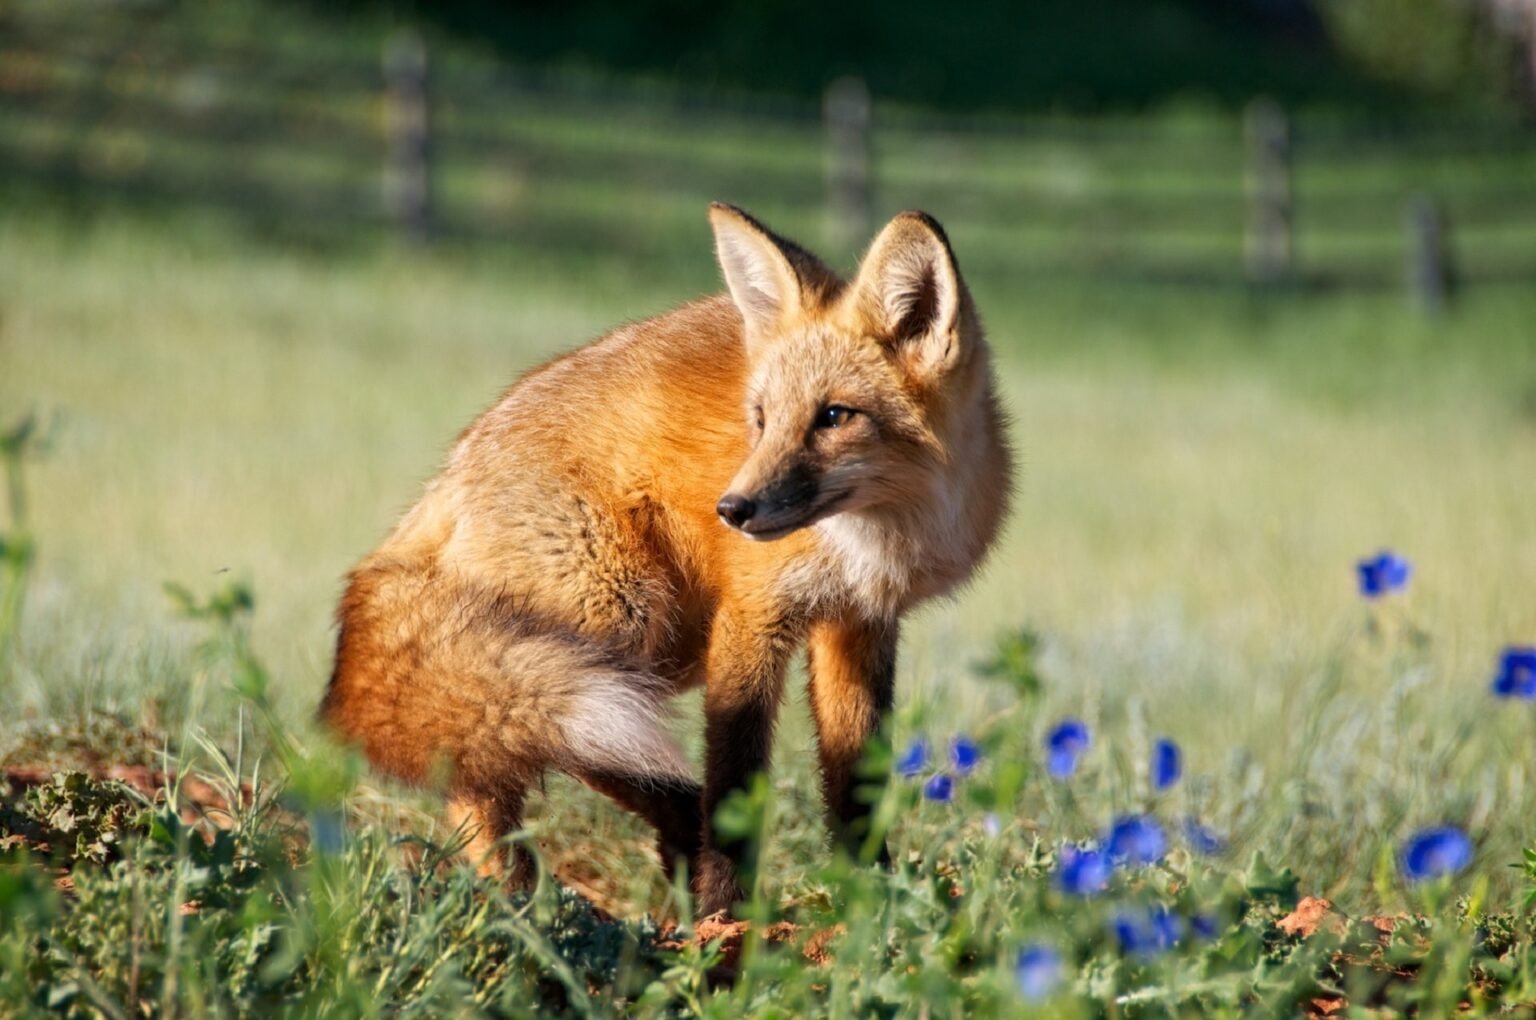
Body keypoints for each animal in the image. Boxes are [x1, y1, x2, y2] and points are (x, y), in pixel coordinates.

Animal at [320, 203, 1011, 916]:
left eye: (834, 416)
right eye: (761, 419)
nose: (732, 510)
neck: (874, 539)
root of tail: (442, 482)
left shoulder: (858, 622)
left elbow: (857, 787)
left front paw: (871, 903)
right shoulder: (751, 618)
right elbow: (736, 780)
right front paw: (726, 921)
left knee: (494, 762)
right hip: (620, 626)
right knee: (499, 763)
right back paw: (531, 908)